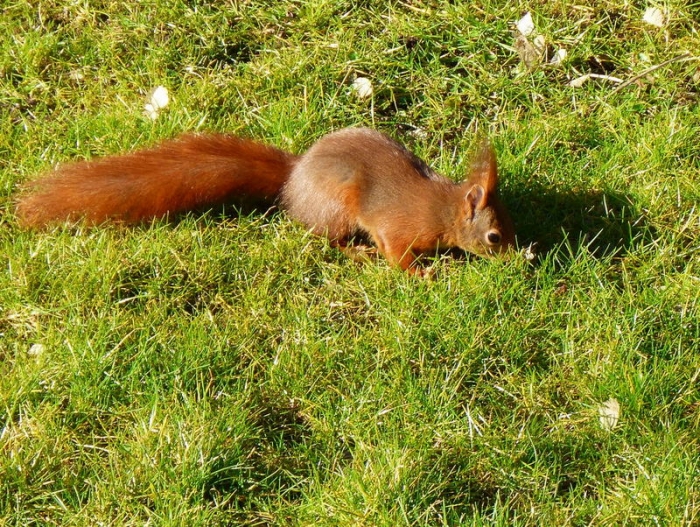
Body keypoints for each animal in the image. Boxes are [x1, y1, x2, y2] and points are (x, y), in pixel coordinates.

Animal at [15, 127, 515, 273]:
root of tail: (294, 179)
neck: (445, 209)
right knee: (327, 240)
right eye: (494, 236)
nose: (520, 258)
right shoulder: (399, 226)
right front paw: (422, 274)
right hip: (336, 209)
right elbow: (395, 253)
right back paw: (355, 252)